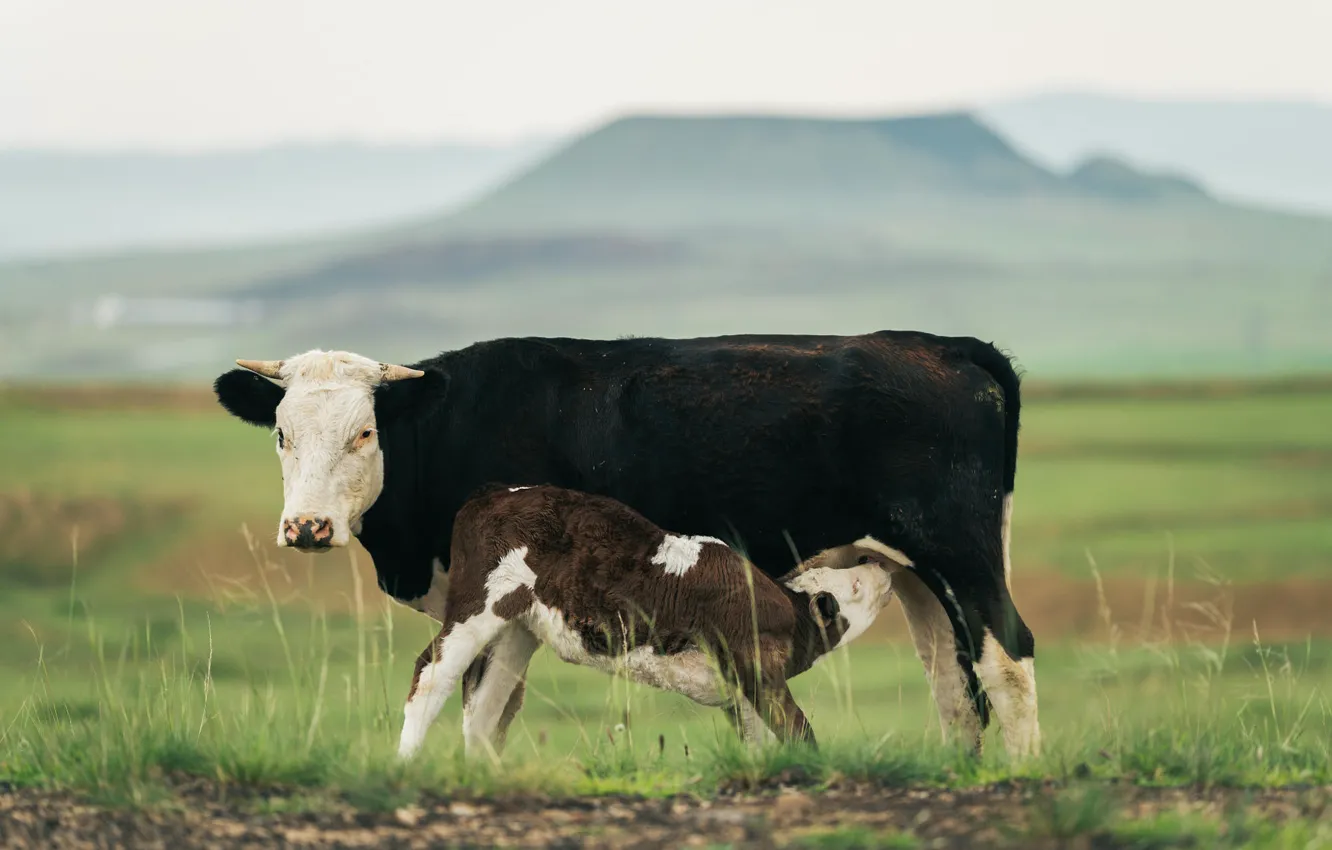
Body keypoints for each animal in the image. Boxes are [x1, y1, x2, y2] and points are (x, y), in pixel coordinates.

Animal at [395, 483, 909, 761]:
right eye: (854, 586)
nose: (880, 566)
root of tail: (496, 492)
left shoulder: (740, 690)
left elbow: (758, 740)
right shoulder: (757, 670)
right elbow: (798, 730)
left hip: (517, 630)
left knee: (485, 703)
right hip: (478, 606)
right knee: (432, 674)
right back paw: (407, 763)